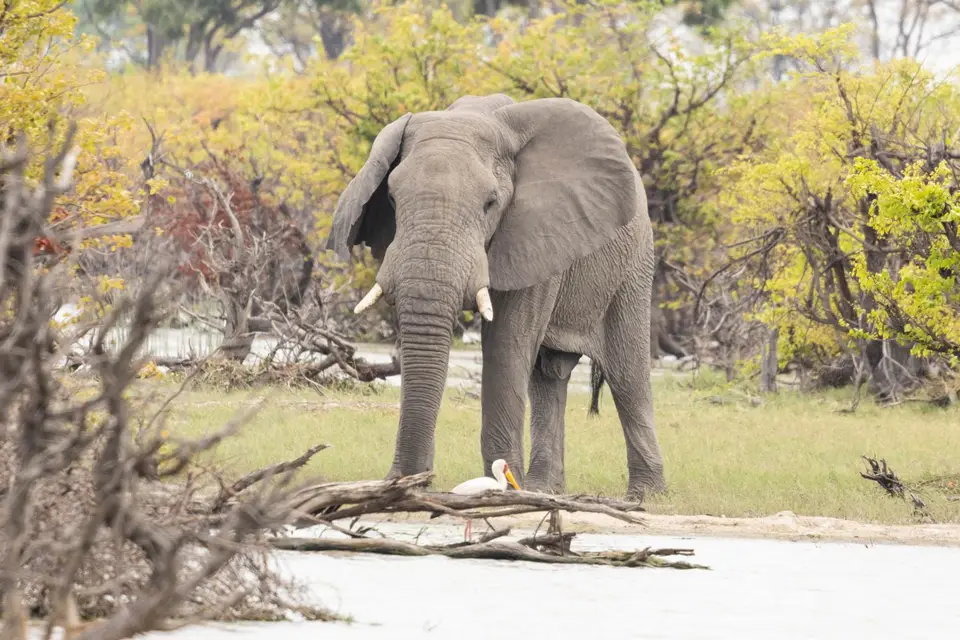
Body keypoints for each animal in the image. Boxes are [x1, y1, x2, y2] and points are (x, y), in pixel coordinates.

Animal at [325, 93, 666, 500]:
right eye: (391, 198)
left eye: (490, 203)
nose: (410, 480)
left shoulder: (535, 232)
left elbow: (507, 344)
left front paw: (503, 487)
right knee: (550, 375)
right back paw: (545, 490)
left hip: (634, 265)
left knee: (627, 373)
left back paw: (646, 496)